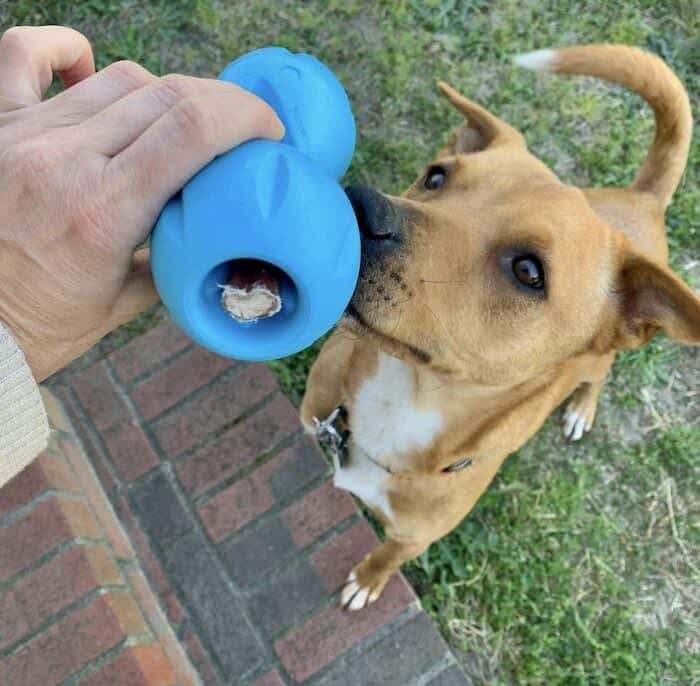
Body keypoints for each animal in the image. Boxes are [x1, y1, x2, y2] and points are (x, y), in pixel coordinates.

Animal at [298, 44, 696, 612]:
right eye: (436, 177)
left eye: (528, 271)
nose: (355, 204)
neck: (403, 401)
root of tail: (642, 199)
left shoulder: (413, 537)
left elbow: (385, 557)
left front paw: (368, 581)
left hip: (602, 356)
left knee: (598, 374)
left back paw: (582, 407)